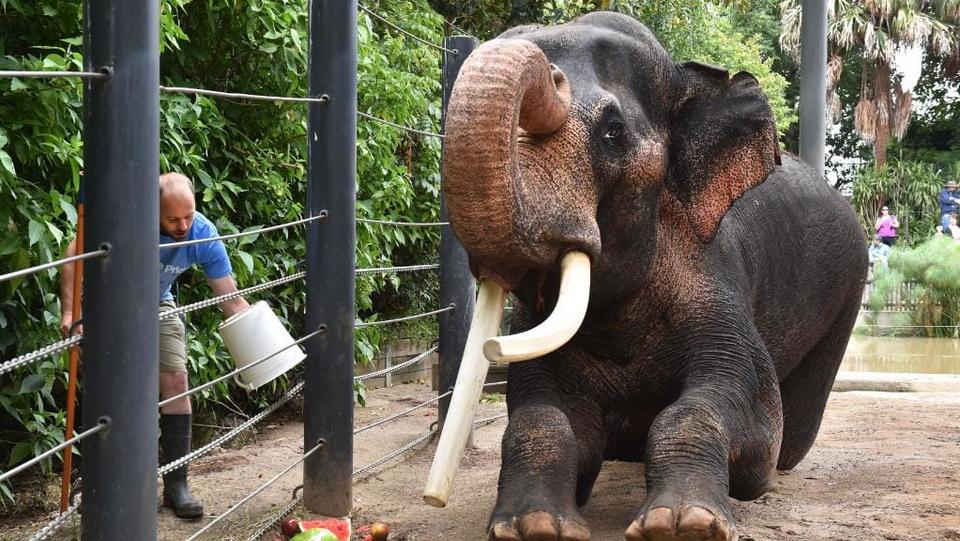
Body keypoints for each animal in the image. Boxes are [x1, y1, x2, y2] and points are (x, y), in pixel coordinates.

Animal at [430, 11, 867, 541]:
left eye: (613, 132)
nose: (549, 74)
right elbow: (544, 415)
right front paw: (533, 525)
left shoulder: (713, 280)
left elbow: (741, 416)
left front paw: (682, 523)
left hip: (849, 289)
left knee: (792, 439)